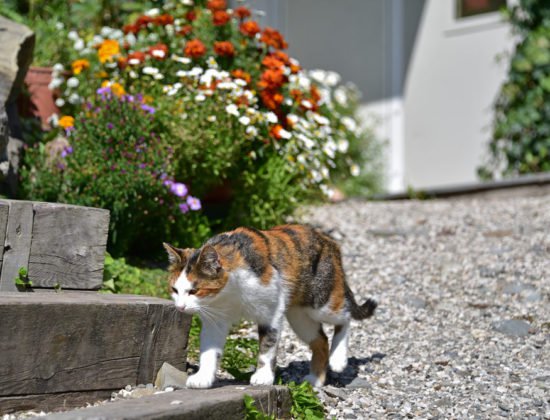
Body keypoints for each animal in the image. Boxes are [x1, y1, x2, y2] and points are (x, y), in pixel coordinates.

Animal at [165, 225, 380, 388]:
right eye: (174, 289)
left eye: (194, 291)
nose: (181, 307)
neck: (228, 295)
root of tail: (328, 239)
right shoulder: (215, 320)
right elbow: (209, 351)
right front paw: (204, 377)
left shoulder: (271, 312)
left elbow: (267, 347)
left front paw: (263, 376)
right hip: (299, 316)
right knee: (321, 340)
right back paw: (316, 379)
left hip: (320, 301)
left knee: (345, 317)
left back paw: (338, 359)